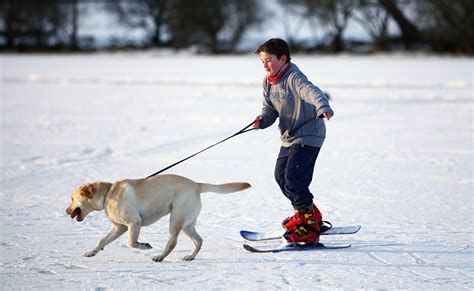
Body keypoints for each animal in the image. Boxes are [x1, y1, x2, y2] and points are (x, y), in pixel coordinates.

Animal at [67, 175, 252, 264]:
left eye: (72, 198)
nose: (66, 210)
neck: (108, 194)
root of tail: (195, 184)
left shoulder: (134, 223)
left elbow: (131, 243)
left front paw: (144, 246)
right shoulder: (119, 228)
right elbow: (102, 241)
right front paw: (91, 252)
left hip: (176, 219)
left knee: (172, 242)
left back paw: (160, 257)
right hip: (187, 224)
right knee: (199, 240)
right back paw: (190, 257)